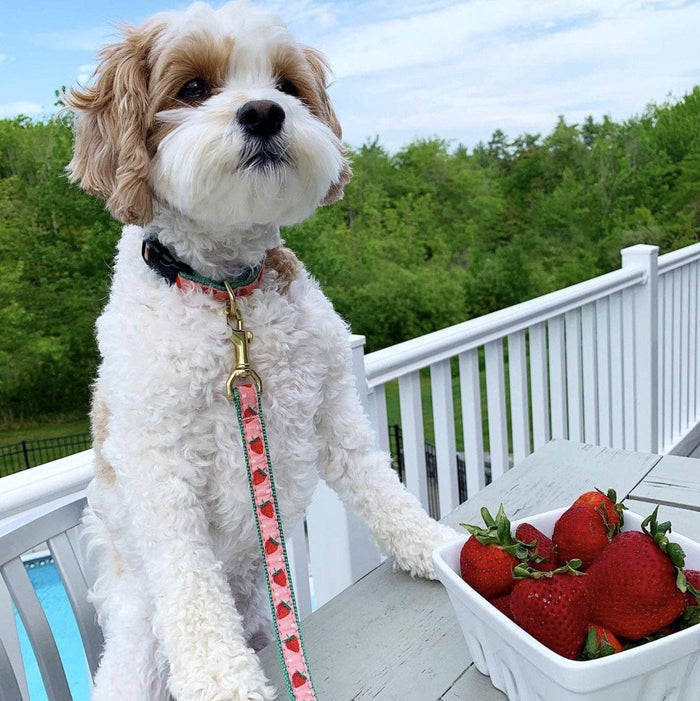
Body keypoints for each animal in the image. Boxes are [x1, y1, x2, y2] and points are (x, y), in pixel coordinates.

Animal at [65, 2, 460, 696]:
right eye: (193, 87)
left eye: (286, 85)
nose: (264, 112)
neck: (229, 296)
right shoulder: (158, 465)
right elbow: (189, 581)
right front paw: (224, 682)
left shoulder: (332, 408)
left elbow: (380, 487)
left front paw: (434, 547)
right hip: (139, 646)